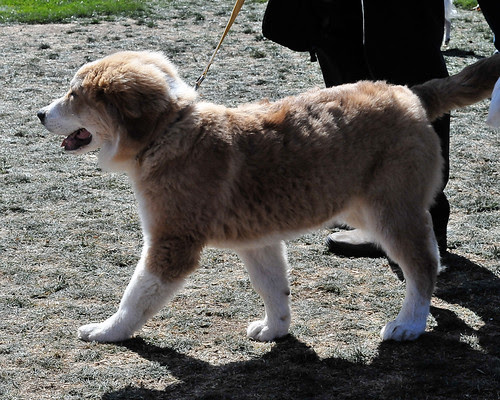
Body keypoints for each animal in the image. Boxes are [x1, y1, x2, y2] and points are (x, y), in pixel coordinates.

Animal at [37, 51, 500, 344]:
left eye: (75, 95)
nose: (39, 114)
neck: (170, 131)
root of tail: (411, 93)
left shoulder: (172, 243)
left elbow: (136, 296)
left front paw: (107, 331)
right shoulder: (258, 241)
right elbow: (274, 288)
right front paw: (275, 330)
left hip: (390, 210)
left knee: (423, 263)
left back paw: (409, 324)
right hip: (367, 207)